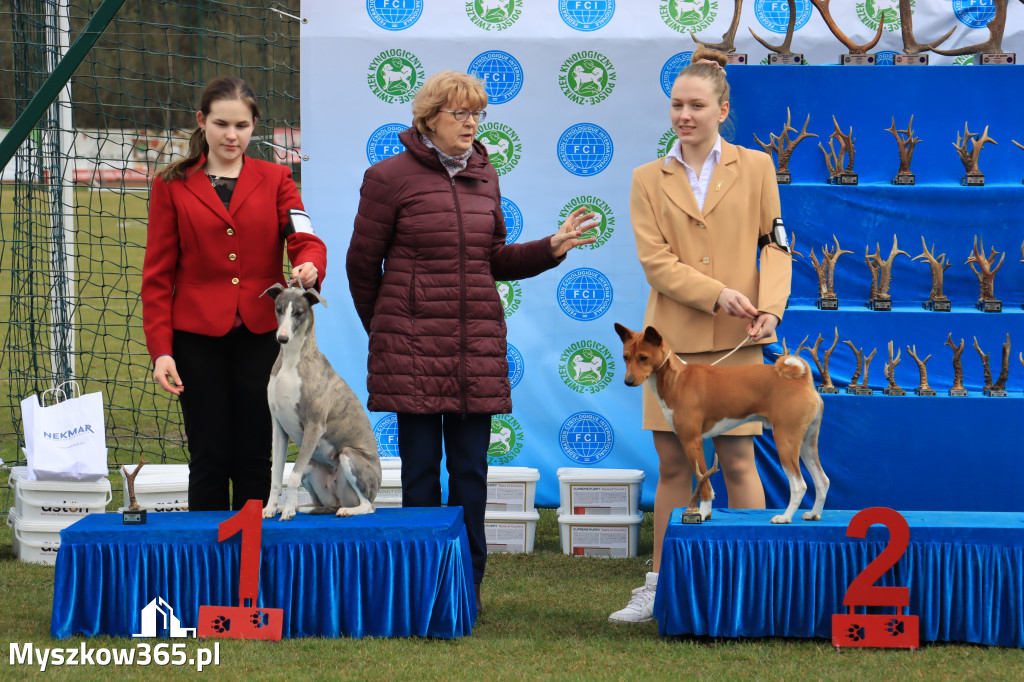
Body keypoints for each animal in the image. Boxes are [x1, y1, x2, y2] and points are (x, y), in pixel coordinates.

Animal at [614, 321, 823, 522]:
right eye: (626, 357)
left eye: (643, 357)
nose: (628, 381)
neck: (677, 380)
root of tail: (802, 380)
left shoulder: (692, 440)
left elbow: (705, 484)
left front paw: (702, 513)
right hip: (807, 443)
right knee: (822, 480)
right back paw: (813, 515)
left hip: (785, 440)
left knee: (800, 485)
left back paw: (785, 517)